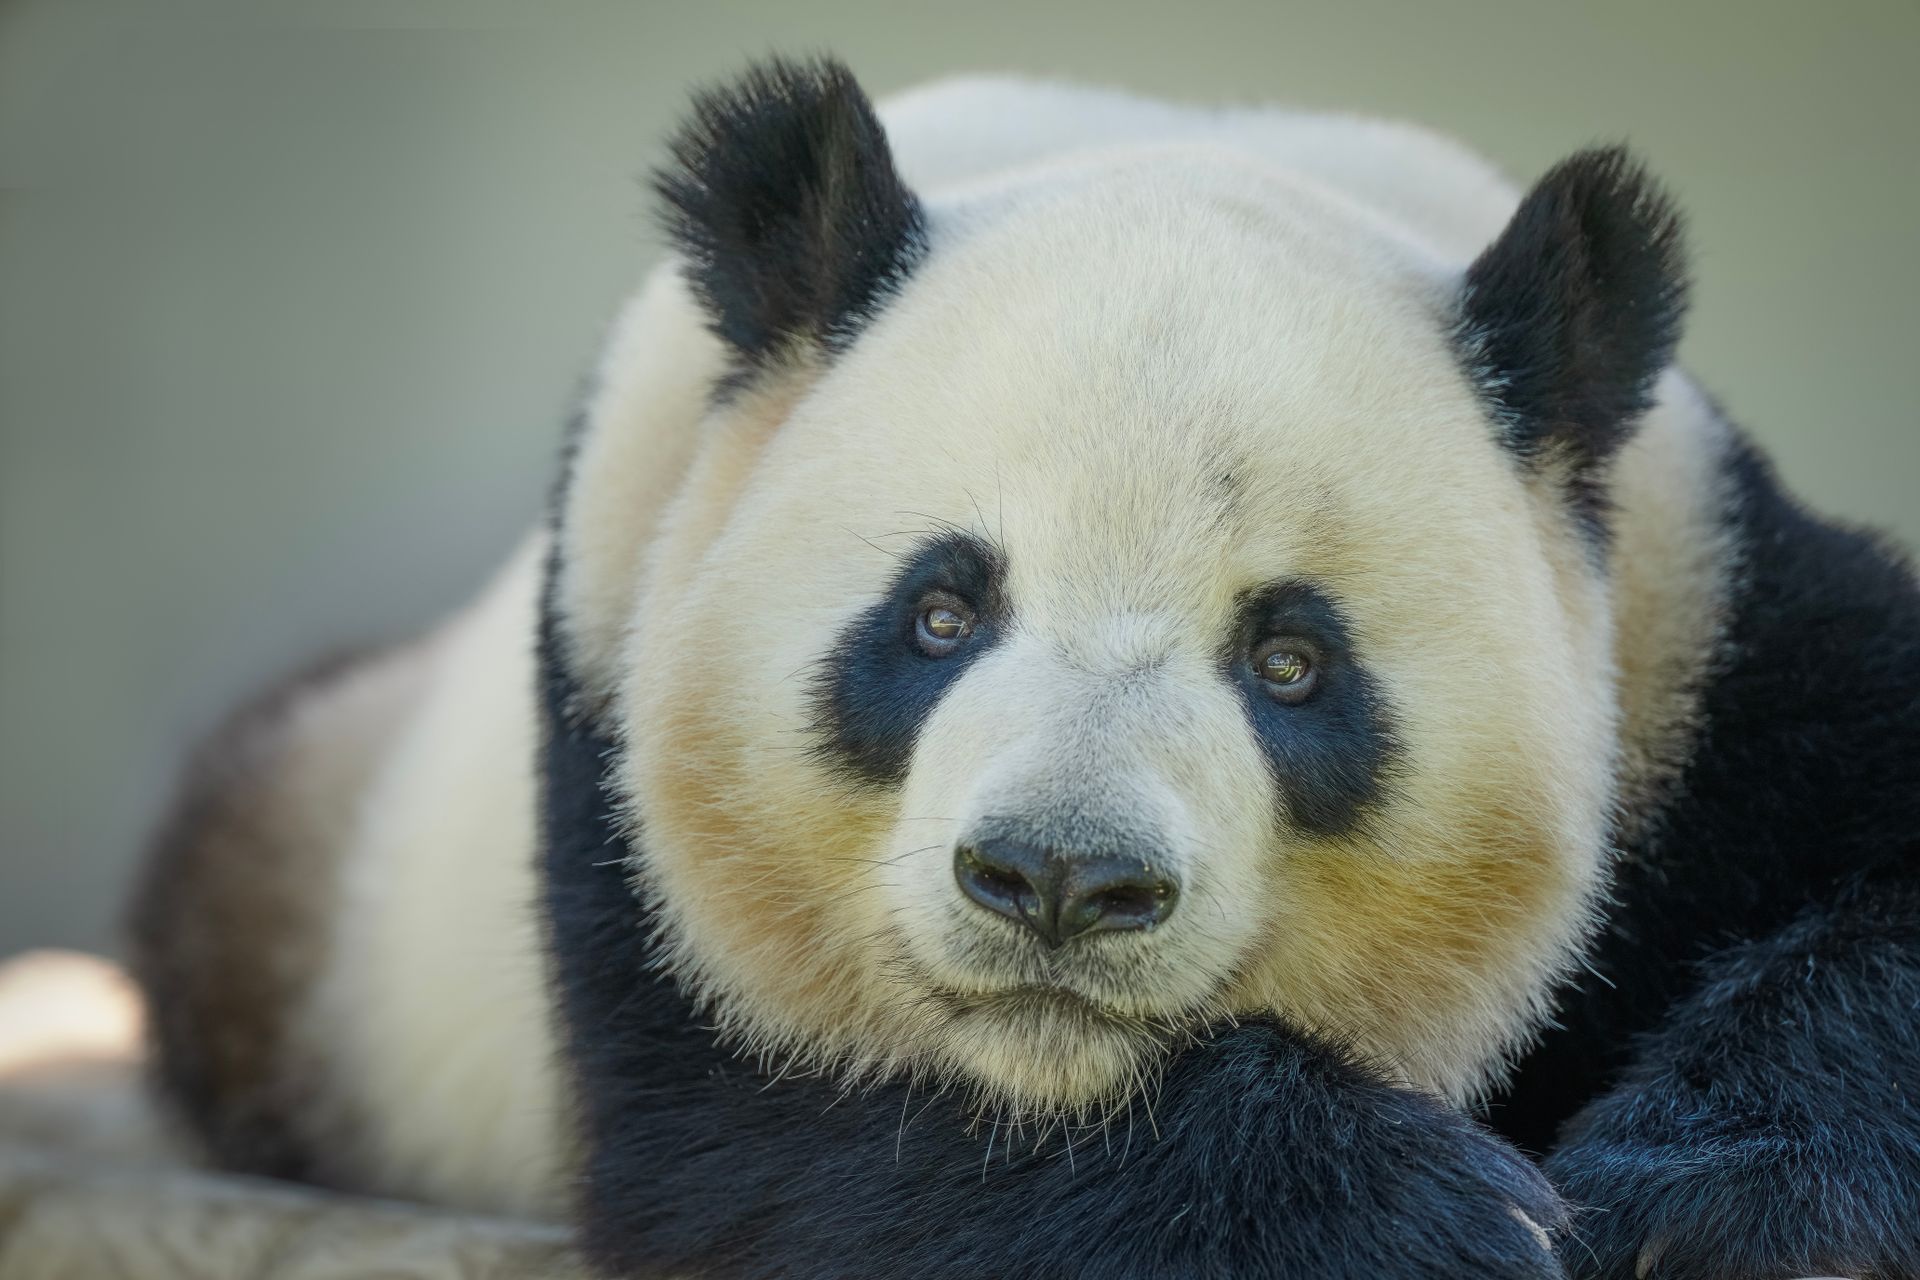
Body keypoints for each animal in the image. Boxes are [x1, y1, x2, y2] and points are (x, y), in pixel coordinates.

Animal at [128, 57, 1920, 1280]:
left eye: (1291, 658)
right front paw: (1413, 1216)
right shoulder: (612, 672)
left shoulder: (1709, 614)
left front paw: (1710, 1199)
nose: (1060, 881)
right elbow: (765, 1147)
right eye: (941, 614)